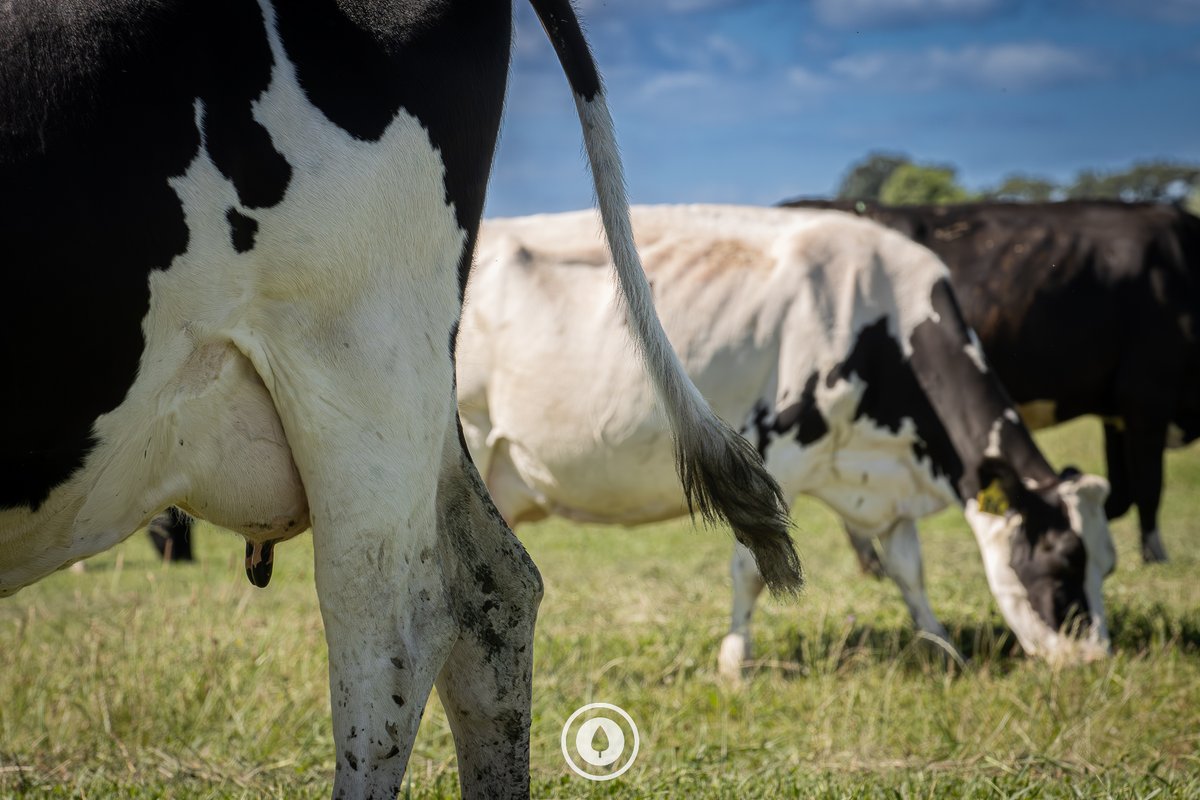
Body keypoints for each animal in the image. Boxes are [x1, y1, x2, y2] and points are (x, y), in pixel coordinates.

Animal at [456, 204, 1117, 679]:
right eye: (1064, 561)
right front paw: (733, 665)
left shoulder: (887, 479)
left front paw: (942, 647)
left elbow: (909, 568)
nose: (1097, 660)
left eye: (1107, 565)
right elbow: (751, 570)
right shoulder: (780, 453)